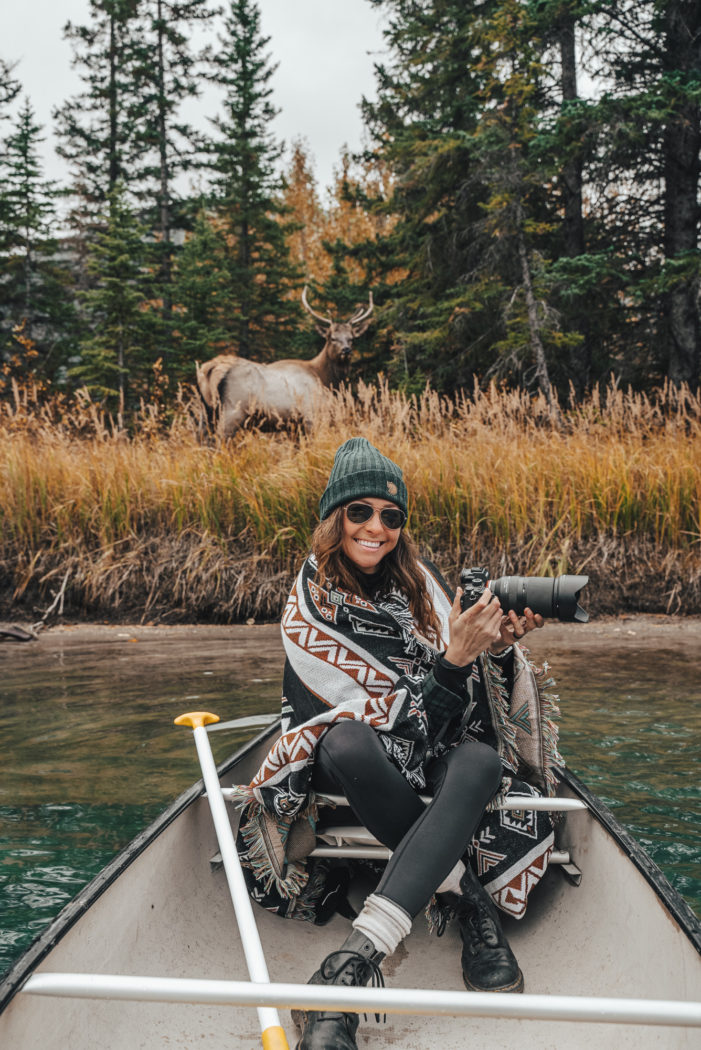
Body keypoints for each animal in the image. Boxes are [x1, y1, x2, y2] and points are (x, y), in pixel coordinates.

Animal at [194, 285, 375, 436]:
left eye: (352, 338)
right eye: (332, 338)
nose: (346, 350)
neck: (325, 379)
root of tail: (210, 368)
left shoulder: (293, 426)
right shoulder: (310, 415)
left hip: (206, 412)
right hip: (232, 411)